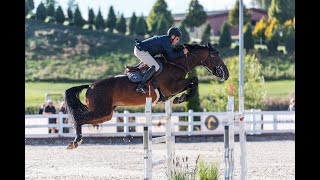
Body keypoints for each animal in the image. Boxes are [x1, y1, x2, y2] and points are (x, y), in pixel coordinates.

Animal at [65, 42, 229, 149]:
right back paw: (76, 141)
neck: (175, 64)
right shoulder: (172, 88)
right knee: (79, 118)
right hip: (101, 111)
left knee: (84, 118)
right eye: (216, 56)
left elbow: (193, 83)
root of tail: (90, 86)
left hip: (106, 114)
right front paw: (182, 98)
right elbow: (194, 80)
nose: (226, 74)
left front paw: (182, 98)